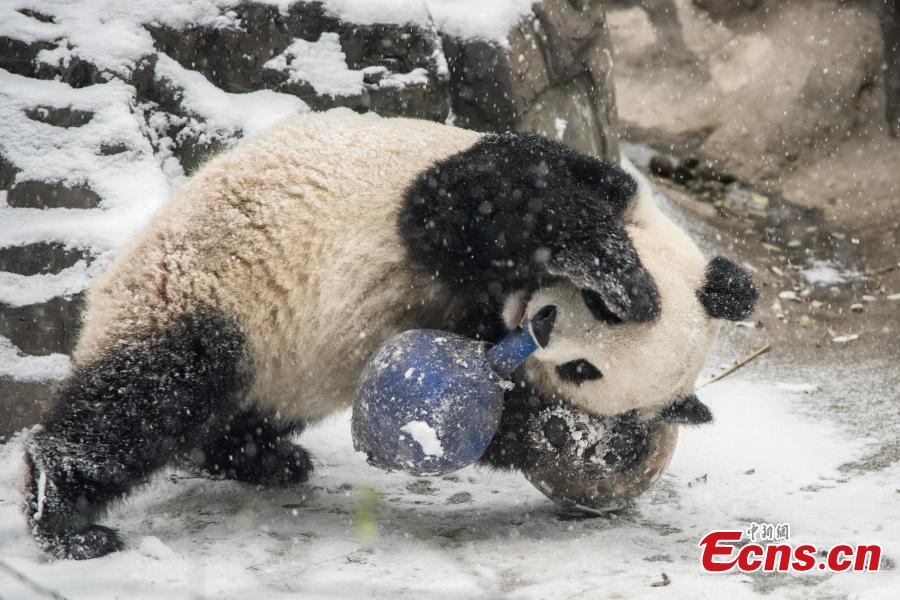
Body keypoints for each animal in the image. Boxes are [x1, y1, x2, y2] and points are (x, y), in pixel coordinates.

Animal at [22, 110, 752, 560]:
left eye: (584, 372)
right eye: (596, 308)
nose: (543, 326)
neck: (498, 302)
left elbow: (487, 419)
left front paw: (567, 435)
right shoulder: (563, 179)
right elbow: (481, 198)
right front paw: (626, 276)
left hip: (282, 362)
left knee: (210, 410)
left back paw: (261, 458)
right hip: (207, 285)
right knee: (148, 396)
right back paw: (64, 513)